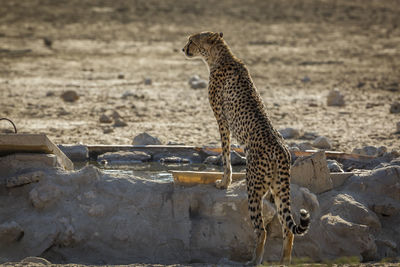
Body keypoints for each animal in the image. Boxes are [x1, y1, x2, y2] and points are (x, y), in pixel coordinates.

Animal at [183, 31, 310, 266]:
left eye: (191, 41)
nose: (182, 49)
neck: (221, 56)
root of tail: (282, 150)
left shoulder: (222, 119)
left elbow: (225, 153)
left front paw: (224, 182)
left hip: (253, 187)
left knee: (262, 230)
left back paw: (254, 260)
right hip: (280, 188)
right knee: (287, 227)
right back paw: (283, 261)